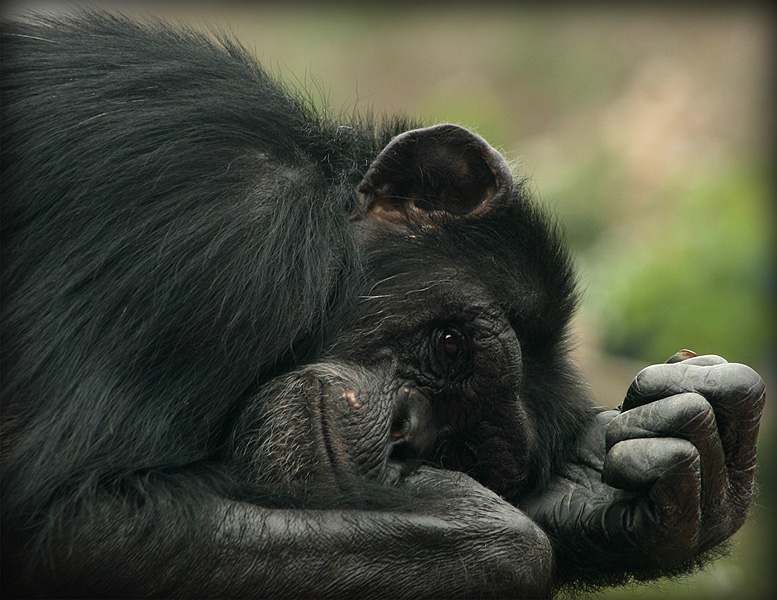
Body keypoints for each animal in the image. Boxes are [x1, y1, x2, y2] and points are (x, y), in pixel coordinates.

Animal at [0, 10, 764, 600]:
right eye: (449, 346)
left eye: (461, 447)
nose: (404, 433)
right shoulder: (216, 245)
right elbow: (68, 519)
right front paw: (483, 531)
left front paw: (608, 491)